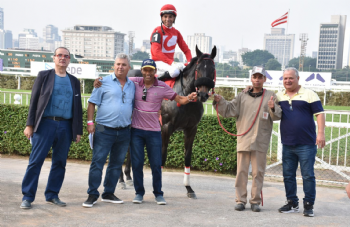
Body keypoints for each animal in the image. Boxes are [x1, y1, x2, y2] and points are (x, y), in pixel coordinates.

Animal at [116, 44, 217, 199]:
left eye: (212, 69)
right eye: (198, 69)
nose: (203, 94)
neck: (184, 95)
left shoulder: (191, 129)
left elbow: (188, 157)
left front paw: (189, 188)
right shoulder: (165, 128)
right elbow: (162, 156)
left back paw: (128, 177)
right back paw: (121, 179)